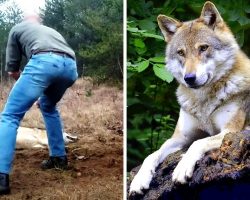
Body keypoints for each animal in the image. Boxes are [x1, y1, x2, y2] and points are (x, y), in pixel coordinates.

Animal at [129, 0, 250, 195]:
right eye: (181, 53)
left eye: (203, 48)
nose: (189, 78)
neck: (203, 102)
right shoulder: (180, 137)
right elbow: (152, 155)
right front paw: (139, 180)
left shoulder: (230, 132)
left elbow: (198, 143)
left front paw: (182, 168)